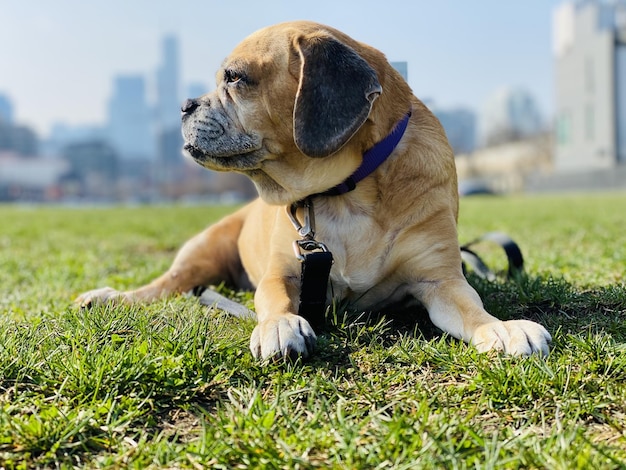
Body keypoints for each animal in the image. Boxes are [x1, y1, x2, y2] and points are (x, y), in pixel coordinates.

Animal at [77, 21, 544, 360]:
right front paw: (279, 325)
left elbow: (472, 309)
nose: (184, 105)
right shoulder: (280, 273)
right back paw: (108, 298)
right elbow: (276, 300)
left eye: (235, 78)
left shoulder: (439, 279)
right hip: (199, 255)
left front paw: (501, 328)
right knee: (160, 287)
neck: (346, 192)